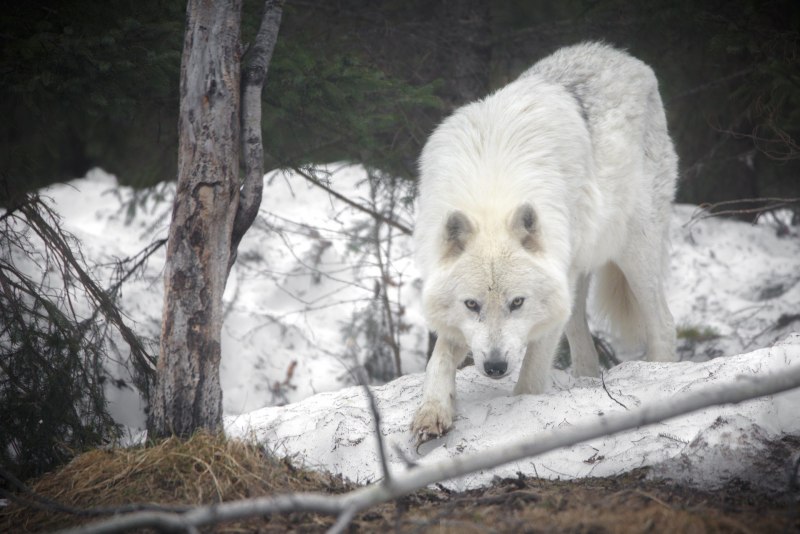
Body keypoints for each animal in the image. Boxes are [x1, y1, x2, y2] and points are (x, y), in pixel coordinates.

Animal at [411, 42, 678, 444]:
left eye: (517, 302)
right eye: (472, 305)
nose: (494, 366)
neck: (492, 195)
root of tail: (623, 56)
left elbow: (532, 375)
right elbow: (438, 359)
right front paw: (433, 412)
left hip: (634, 251)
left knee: (663, 323)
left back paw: (662, 375)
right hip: (578, 272)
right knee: (581, 333)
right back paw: (586, 381)